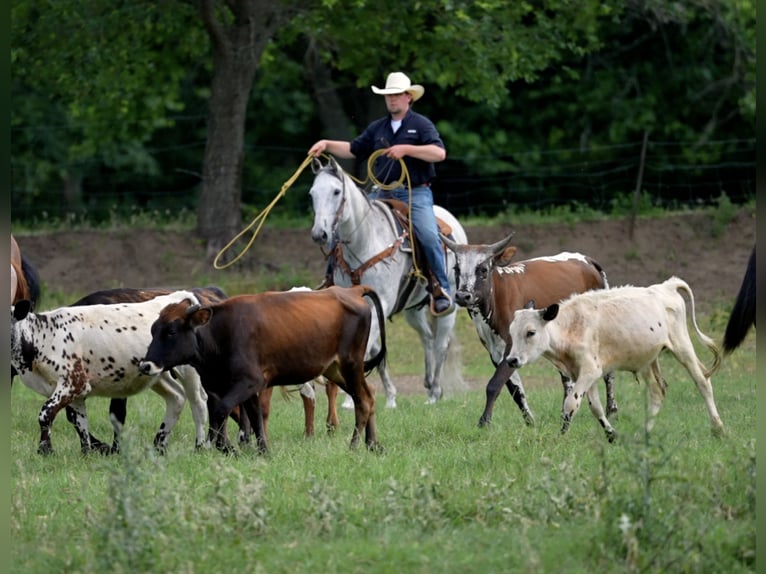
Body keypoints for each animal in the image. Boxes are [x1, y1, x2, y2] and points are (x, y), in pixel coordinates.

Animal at [9, 290, 213, 456]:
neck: (42, 336)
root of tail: (179, 296)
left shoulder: (74, 382)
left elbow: (46, 413)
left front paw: (45, 450)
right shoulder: (76, 391)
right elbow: (80, 421)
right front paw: (86, 453)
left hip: (189, 369)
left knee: (198, 403)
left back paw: (199, 446)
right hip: (156, 372)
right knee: (176, 397)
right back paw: (159, 447)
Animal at [138, 286, 388, 456]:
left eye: (171, 331)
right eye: (153, 330)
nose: (145, 365)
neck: (220, 333)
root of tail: (351, 290)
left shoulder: (250, 381)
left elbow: (222, 411)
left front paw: (222, 447)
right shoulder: (224, 387)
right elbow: (254, 416)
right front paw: (261, 450)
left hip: (350, 363)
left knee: (363, 400)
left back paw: (354, 446)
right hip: (334, 368)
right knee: (369, 394)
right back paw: (372, 444)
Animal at [444, 233, 616, 428]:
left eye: (483, 270)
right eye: (456, 268)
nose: (462, 296)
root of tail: (588, 260)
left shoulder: (511, 347)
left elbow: (494, 385)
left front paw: (484, 422)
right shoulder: (495, 352)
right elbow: (515, 390)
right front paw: (530, 422)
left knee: (608, 373)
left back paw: (611, 411)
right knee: (566, 377)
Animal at [510, 278, 728, 440]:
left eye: (530, 332)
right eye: (511, 332)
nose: (512, 360)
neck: (571, 326)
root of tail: (666, 286)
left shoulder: (590, 370)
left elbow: (571, 404)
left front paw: (561, 436)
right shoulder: (582, 374)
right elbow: (596, 408)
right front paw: (611, 435)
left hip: (682, 346)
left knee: (702, 382)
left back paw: (718, 428)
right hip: (648, 360)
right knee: (657, 392)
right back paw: (645, 432)